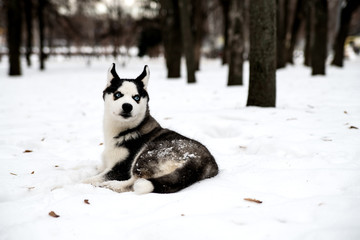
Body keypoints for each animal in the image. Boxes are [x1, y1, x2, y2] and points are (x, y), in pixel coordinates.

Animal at [84, 63, 218, 193]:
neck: (127, 129)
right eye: (118, 94)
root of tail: (200, 163)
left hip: (145, 155)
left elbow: (90, 179)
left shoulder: (121, 168)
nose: (127, 106)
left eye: (136, 98)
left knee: (135, 182)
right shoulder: (106, 165)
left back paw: (113, 185)